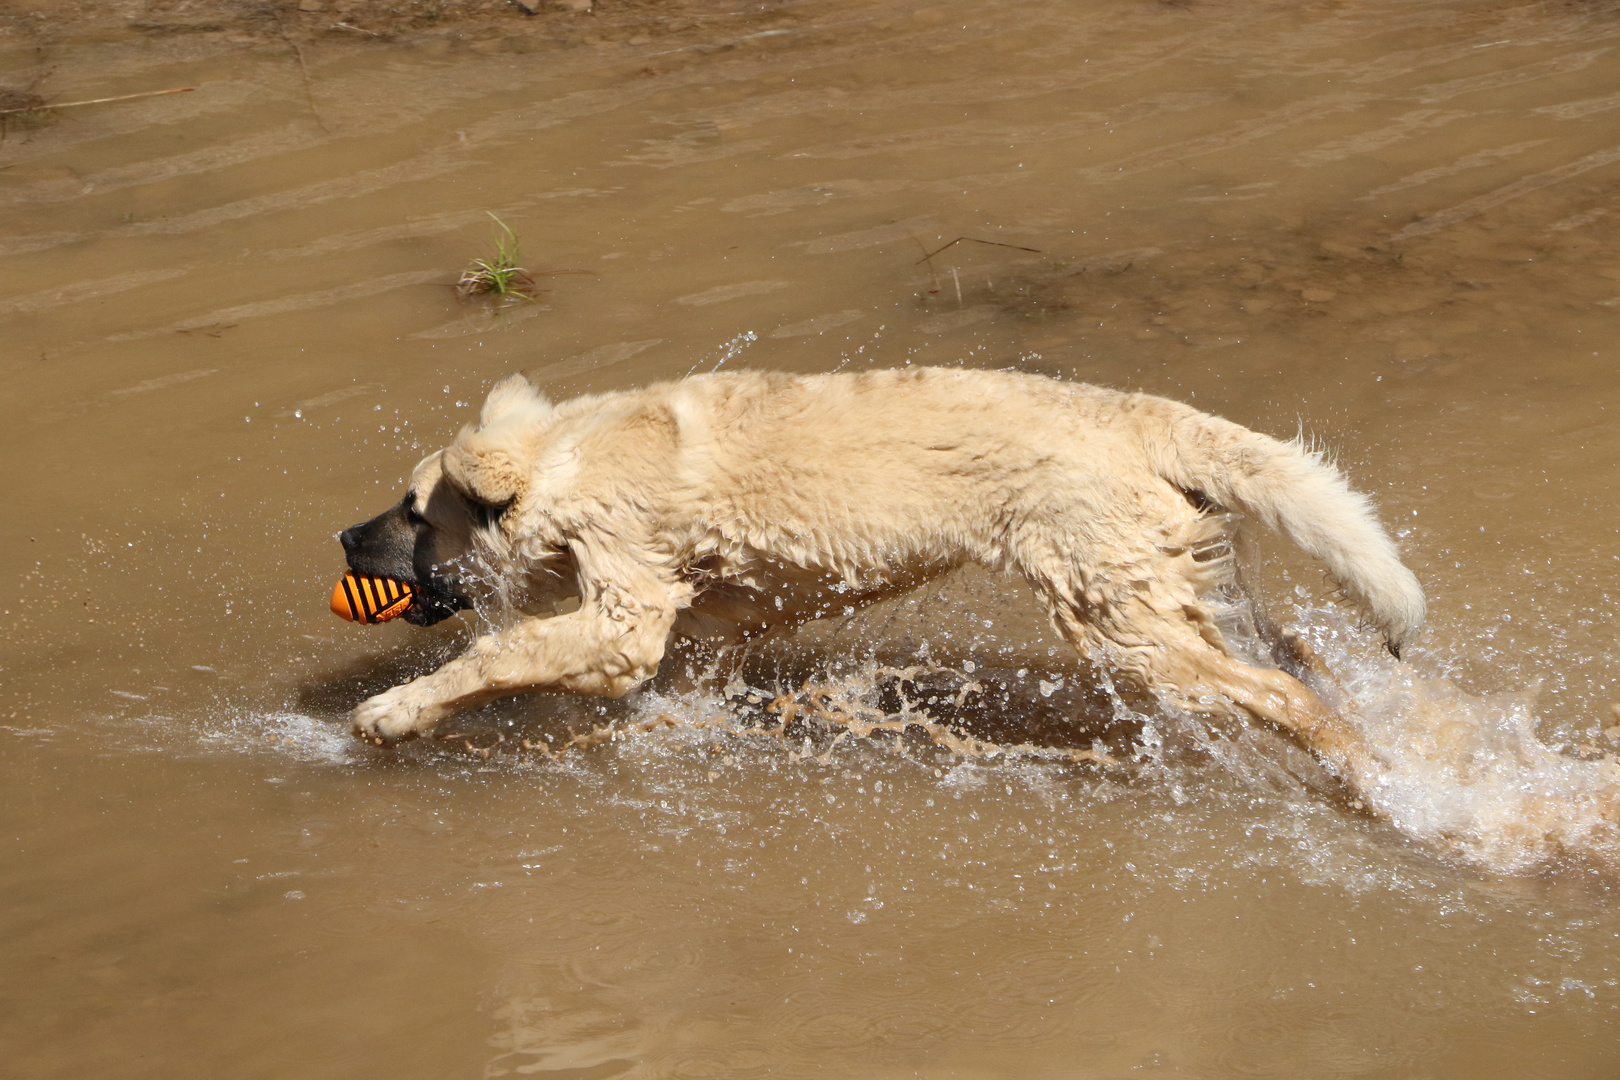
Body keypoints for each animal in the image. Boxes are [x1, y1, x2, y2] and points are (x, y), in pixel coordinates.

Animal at [338, 367, 1419, 780]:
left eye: (411, 511)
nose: (344, 541)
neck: (565, 462)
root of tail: (1133, 414)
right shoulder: (698, 633)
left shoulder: (624, 619)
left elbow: (493, 658)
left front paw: (392, 713)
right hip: (1174, 592)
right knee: (1300, 660)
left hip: (1119, 620)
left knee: (1287, 695)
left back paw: (1380, 784)